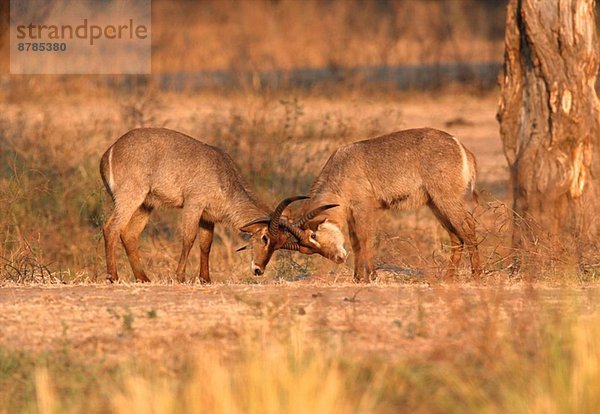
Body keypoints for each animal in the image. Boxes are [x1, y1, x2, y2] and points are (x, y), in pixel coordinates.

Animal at [99, 128, 326, 284]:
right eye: (265, 238)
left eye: (279, 244)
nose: (258, 270)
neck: (223, 174)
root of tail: (109, 152)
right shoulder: (194, 204)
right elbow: (189, 239)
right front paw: (180, 276)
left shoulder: (208, 217)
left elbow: (206, 245)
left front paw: (205, 279)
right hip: (131, 197)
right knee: (111, 228)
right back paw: (113, 276)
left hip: (146, 204)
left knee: (129, 234)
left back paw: (143, 278)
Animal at [278, 128, 482, 284]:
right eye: (308, 249)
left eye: (313, 235)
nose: (338, 258)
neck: (340, 167)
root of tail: (461, 146)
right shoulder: (351, 214)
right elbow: (355, 243)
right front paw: (358, 278)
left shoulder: (363, 209)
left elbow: (365, 239)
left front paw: (372, 276)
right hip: (435, 205)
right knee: (456, 236)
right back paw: (449, 277)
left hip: (446, 200)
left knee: (468, 227)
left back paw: (477, 275)